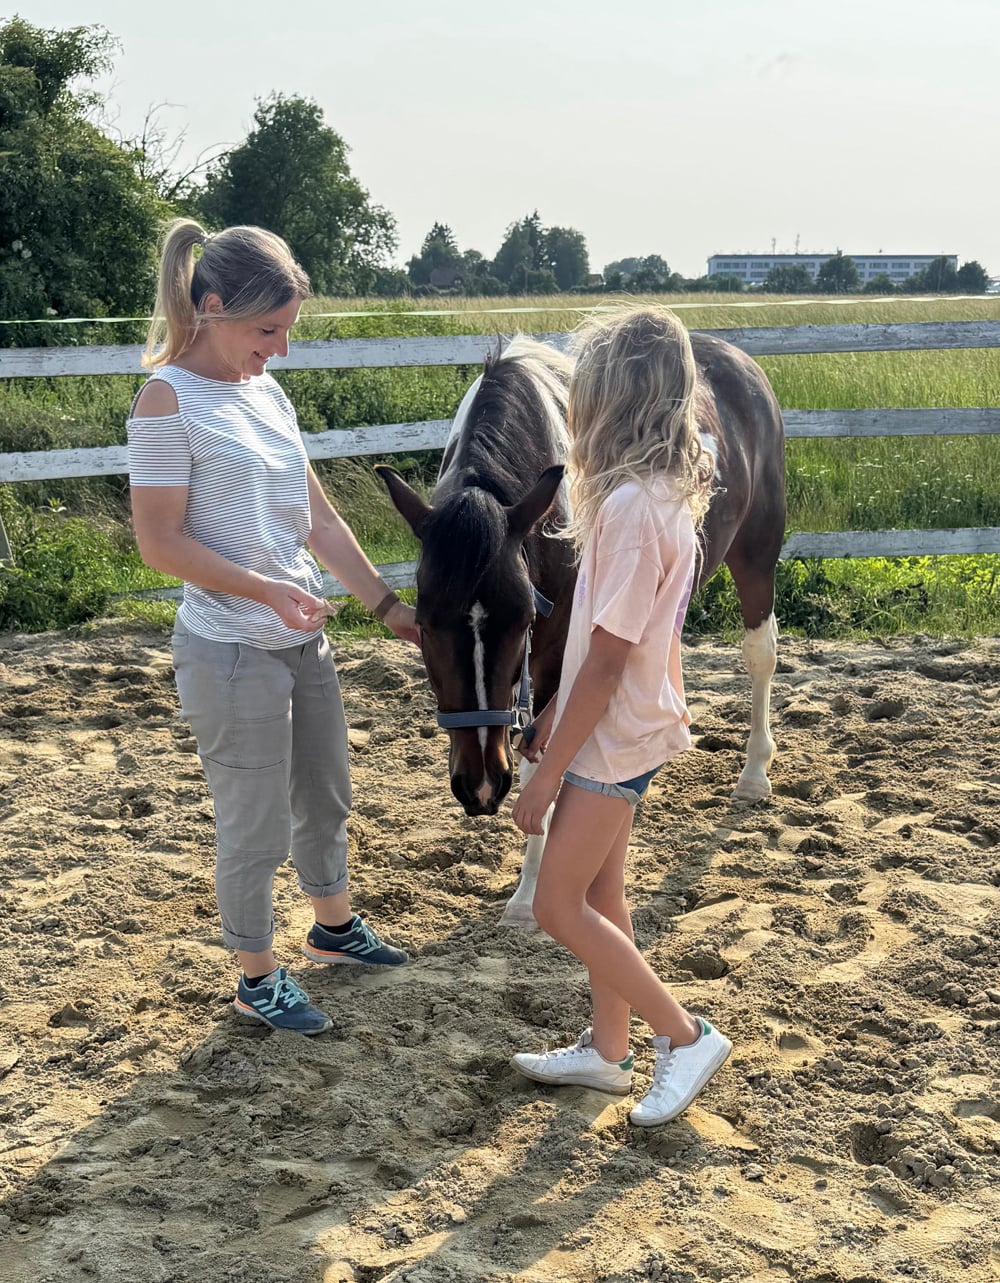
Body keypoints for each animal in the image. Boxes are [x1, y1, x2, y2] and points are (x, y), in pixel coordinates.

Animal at [376, 330, 785, 927]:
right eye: (424, 624)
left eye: (525, 618)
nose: (480, 787)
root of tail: (738, 361)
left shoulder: (556, 654)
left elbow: (537, 760)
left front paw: (526, 897)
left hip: (757, 552)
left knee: (760, 653)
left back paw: (754, 773)